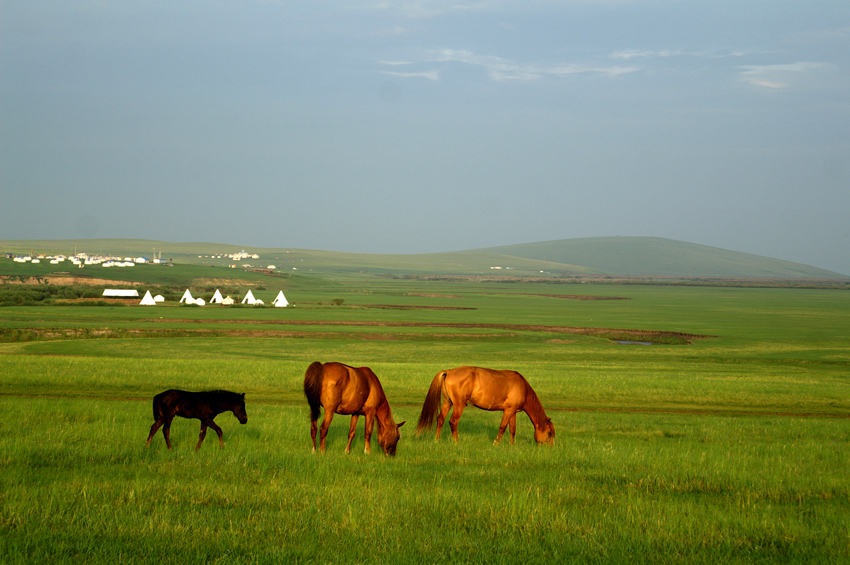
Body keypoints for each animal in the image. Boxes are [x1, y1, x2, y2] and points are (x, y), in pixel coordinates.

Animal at [414, 366, 552, 446]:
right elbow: (502, 428)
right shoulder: (507, 411)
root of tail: (448, 372)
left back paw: (436, 440)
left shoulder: (513, 411)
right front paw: (496, 444)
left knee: (440, 419)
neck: (523, 387)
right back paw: (456, 443)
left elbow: (512, 430)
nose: (550, 447)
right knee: (453, 422)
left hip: (448, 403)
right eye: (550, 433)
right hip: (459, 405)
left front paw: (512, 445)